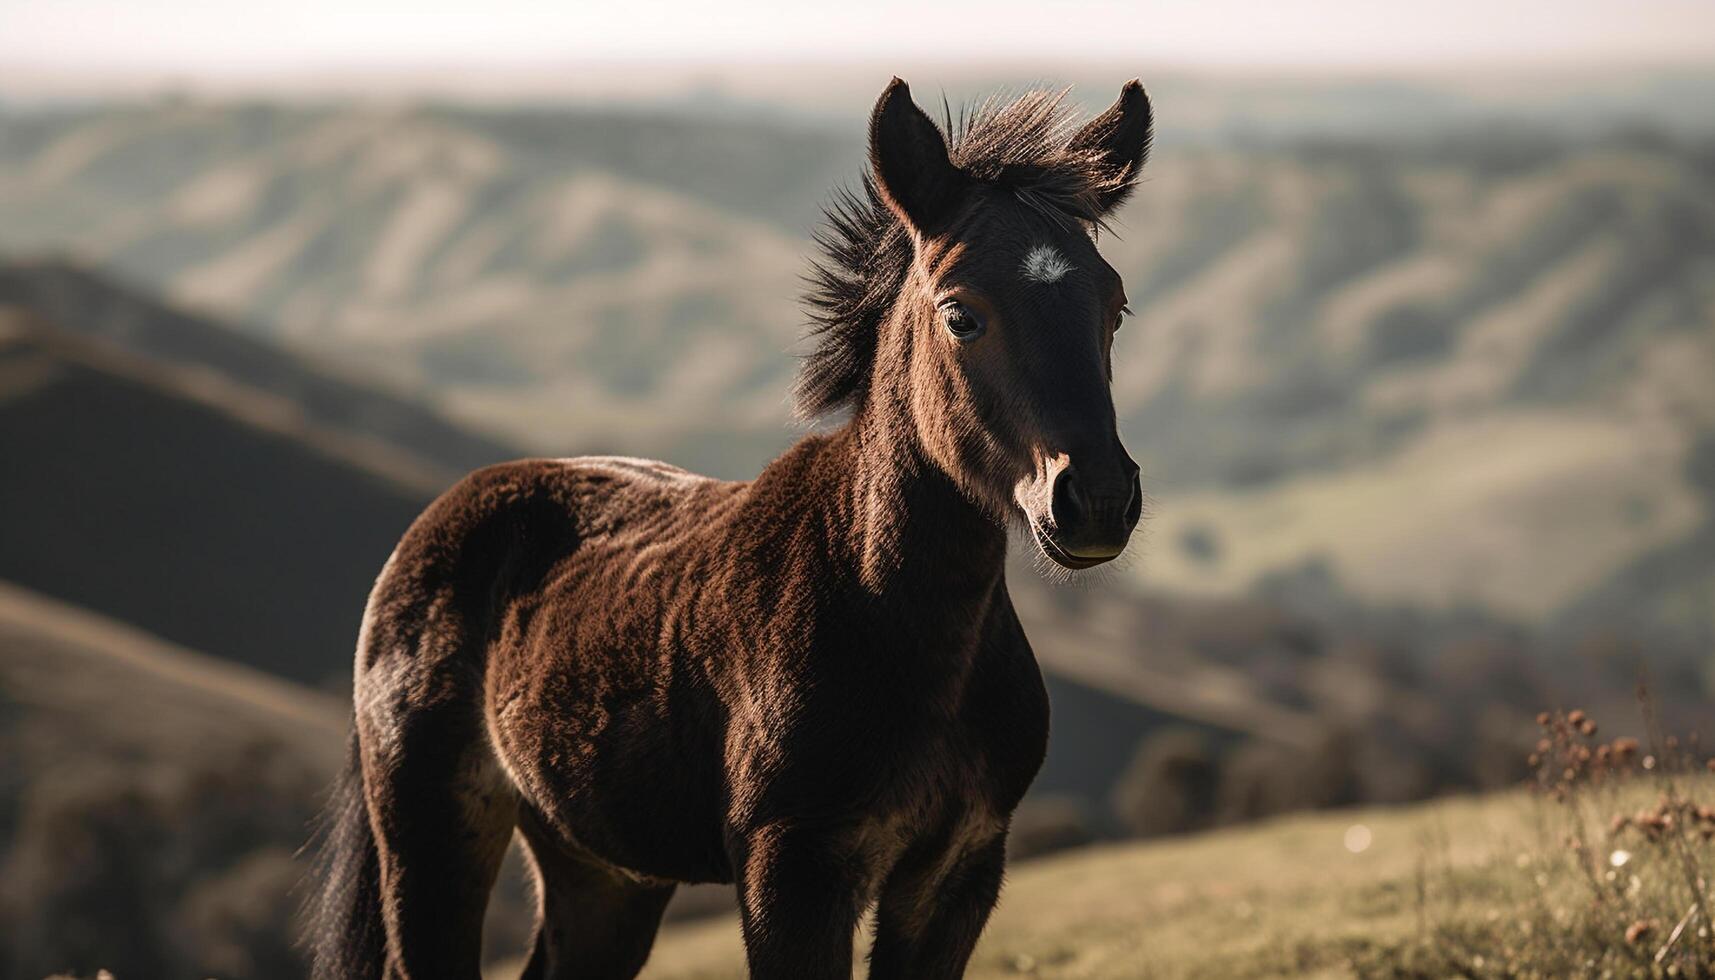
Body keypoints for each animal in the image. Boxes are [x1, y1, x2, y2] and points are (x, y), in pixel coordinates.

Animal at [308, 78, 1152, 980]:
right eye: (961, 314)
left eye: (1113, 306)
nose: (1096, 500)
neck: (899, 626)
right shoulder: (792, 874)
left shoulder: (957, 873)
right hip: (430, 832)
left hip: (601, 868)